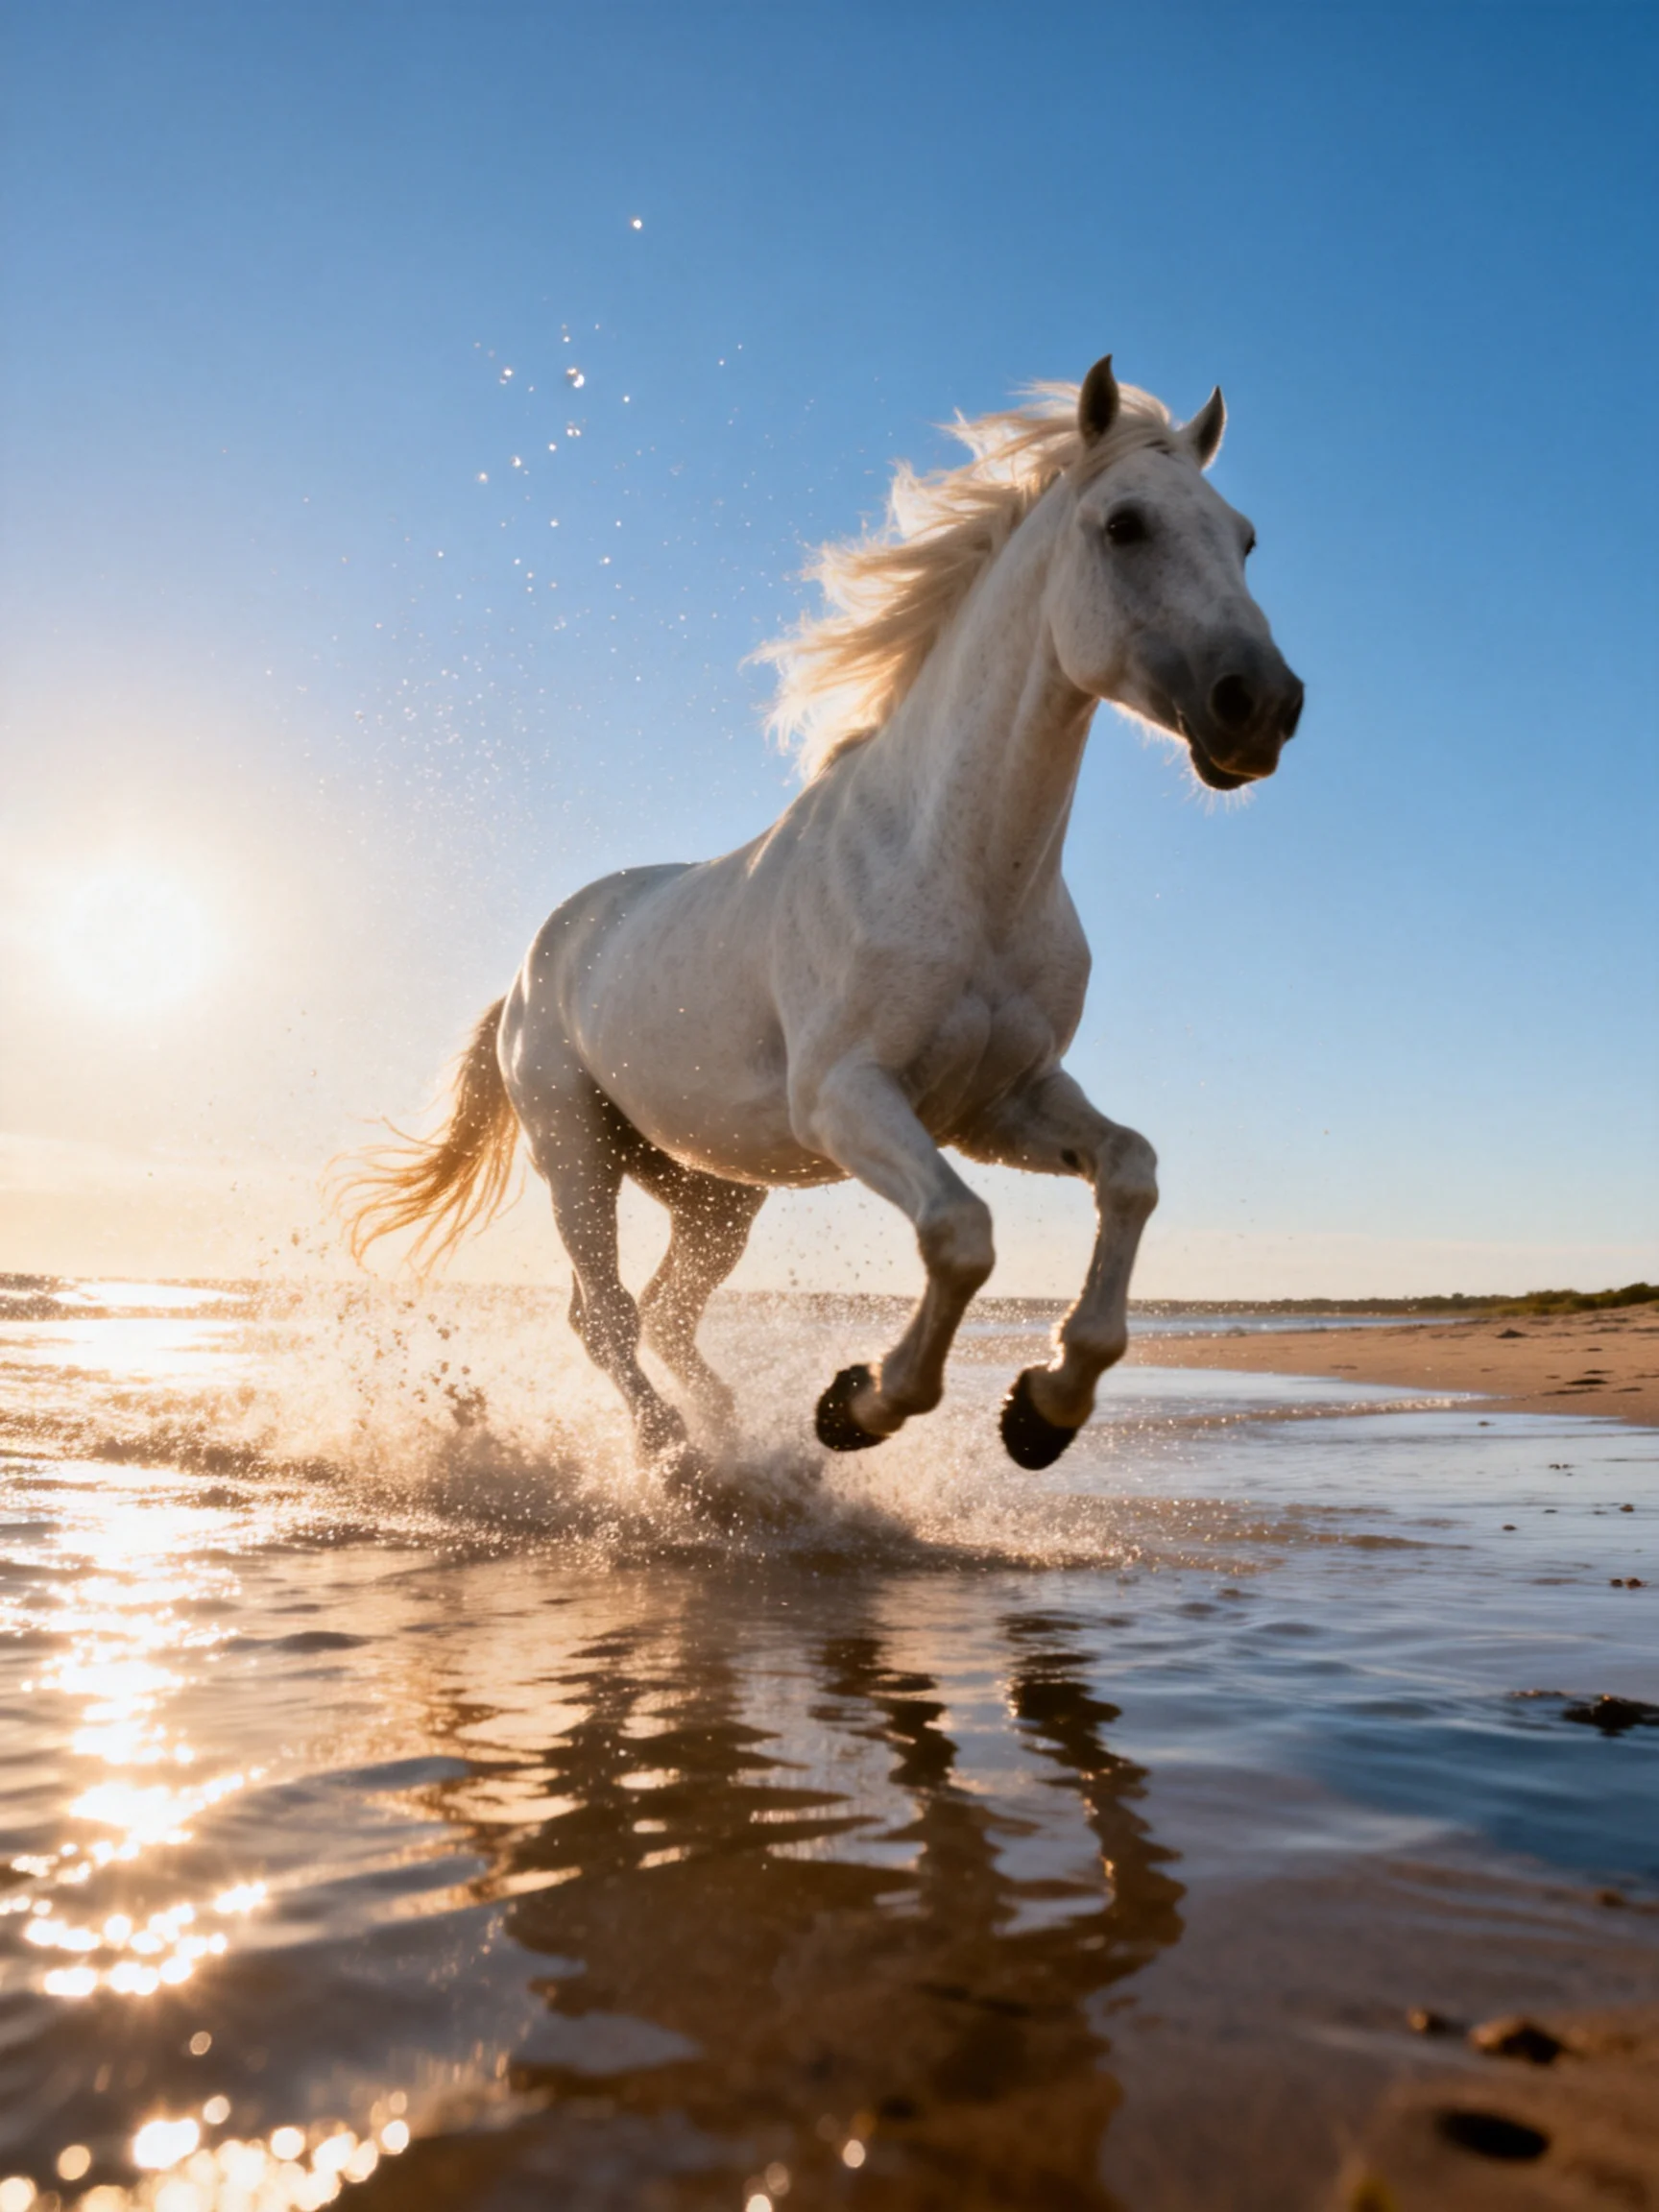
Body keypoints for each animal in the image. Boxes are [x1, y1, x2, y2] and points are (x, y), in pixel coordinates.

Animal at [343, 356, 1303, 1478]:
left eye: (1245, 537)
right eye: (1125, 525)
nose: (1262, 707)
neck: (958, 867)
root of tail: (529, 969)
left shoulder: (1000, 1103)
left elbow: (1131, 1172)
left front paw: (1044, 1407)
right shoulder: (849, 1098)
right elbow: (961, 1235)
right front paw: (862, 1403)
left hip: (714, 1192)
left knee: (665, 1317)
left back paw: (726, 1440)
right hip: (575, 1156)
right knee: (607, 1317)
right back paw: (676, 1458)